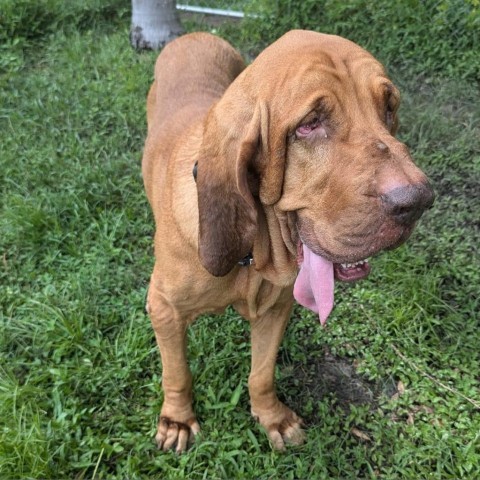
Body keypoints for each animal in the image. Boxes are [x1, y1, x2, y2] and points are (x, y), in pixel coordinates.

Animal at [141, 30, 434, 450]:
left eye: (389, 109)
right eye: (309, 124)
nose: (418, 201)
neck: (250, 253)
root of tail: (196, 33)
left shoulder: (276, 308)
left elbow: (261, 374)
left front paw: (273, 418)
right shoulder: (164, 308)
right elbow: (176, 373)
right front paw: (176, 420)